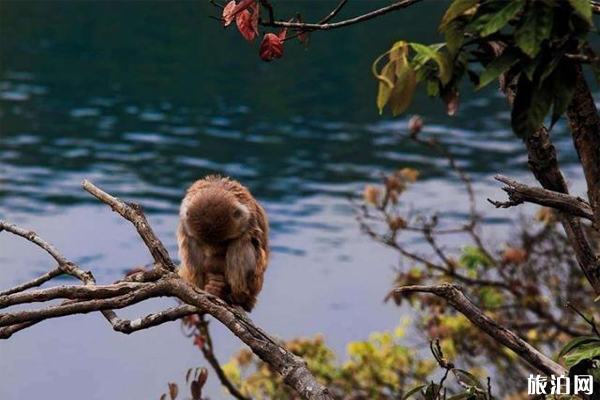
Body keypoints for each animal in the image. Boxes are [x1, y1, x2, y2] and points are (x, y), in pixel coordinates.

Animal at [177, 176, 268, 312]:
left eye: (223, 242)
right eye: (205, 243)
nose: (215, 251)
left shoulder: (249, 219)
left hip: (256, 284)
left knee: (241, 243)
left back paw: (237, 295)